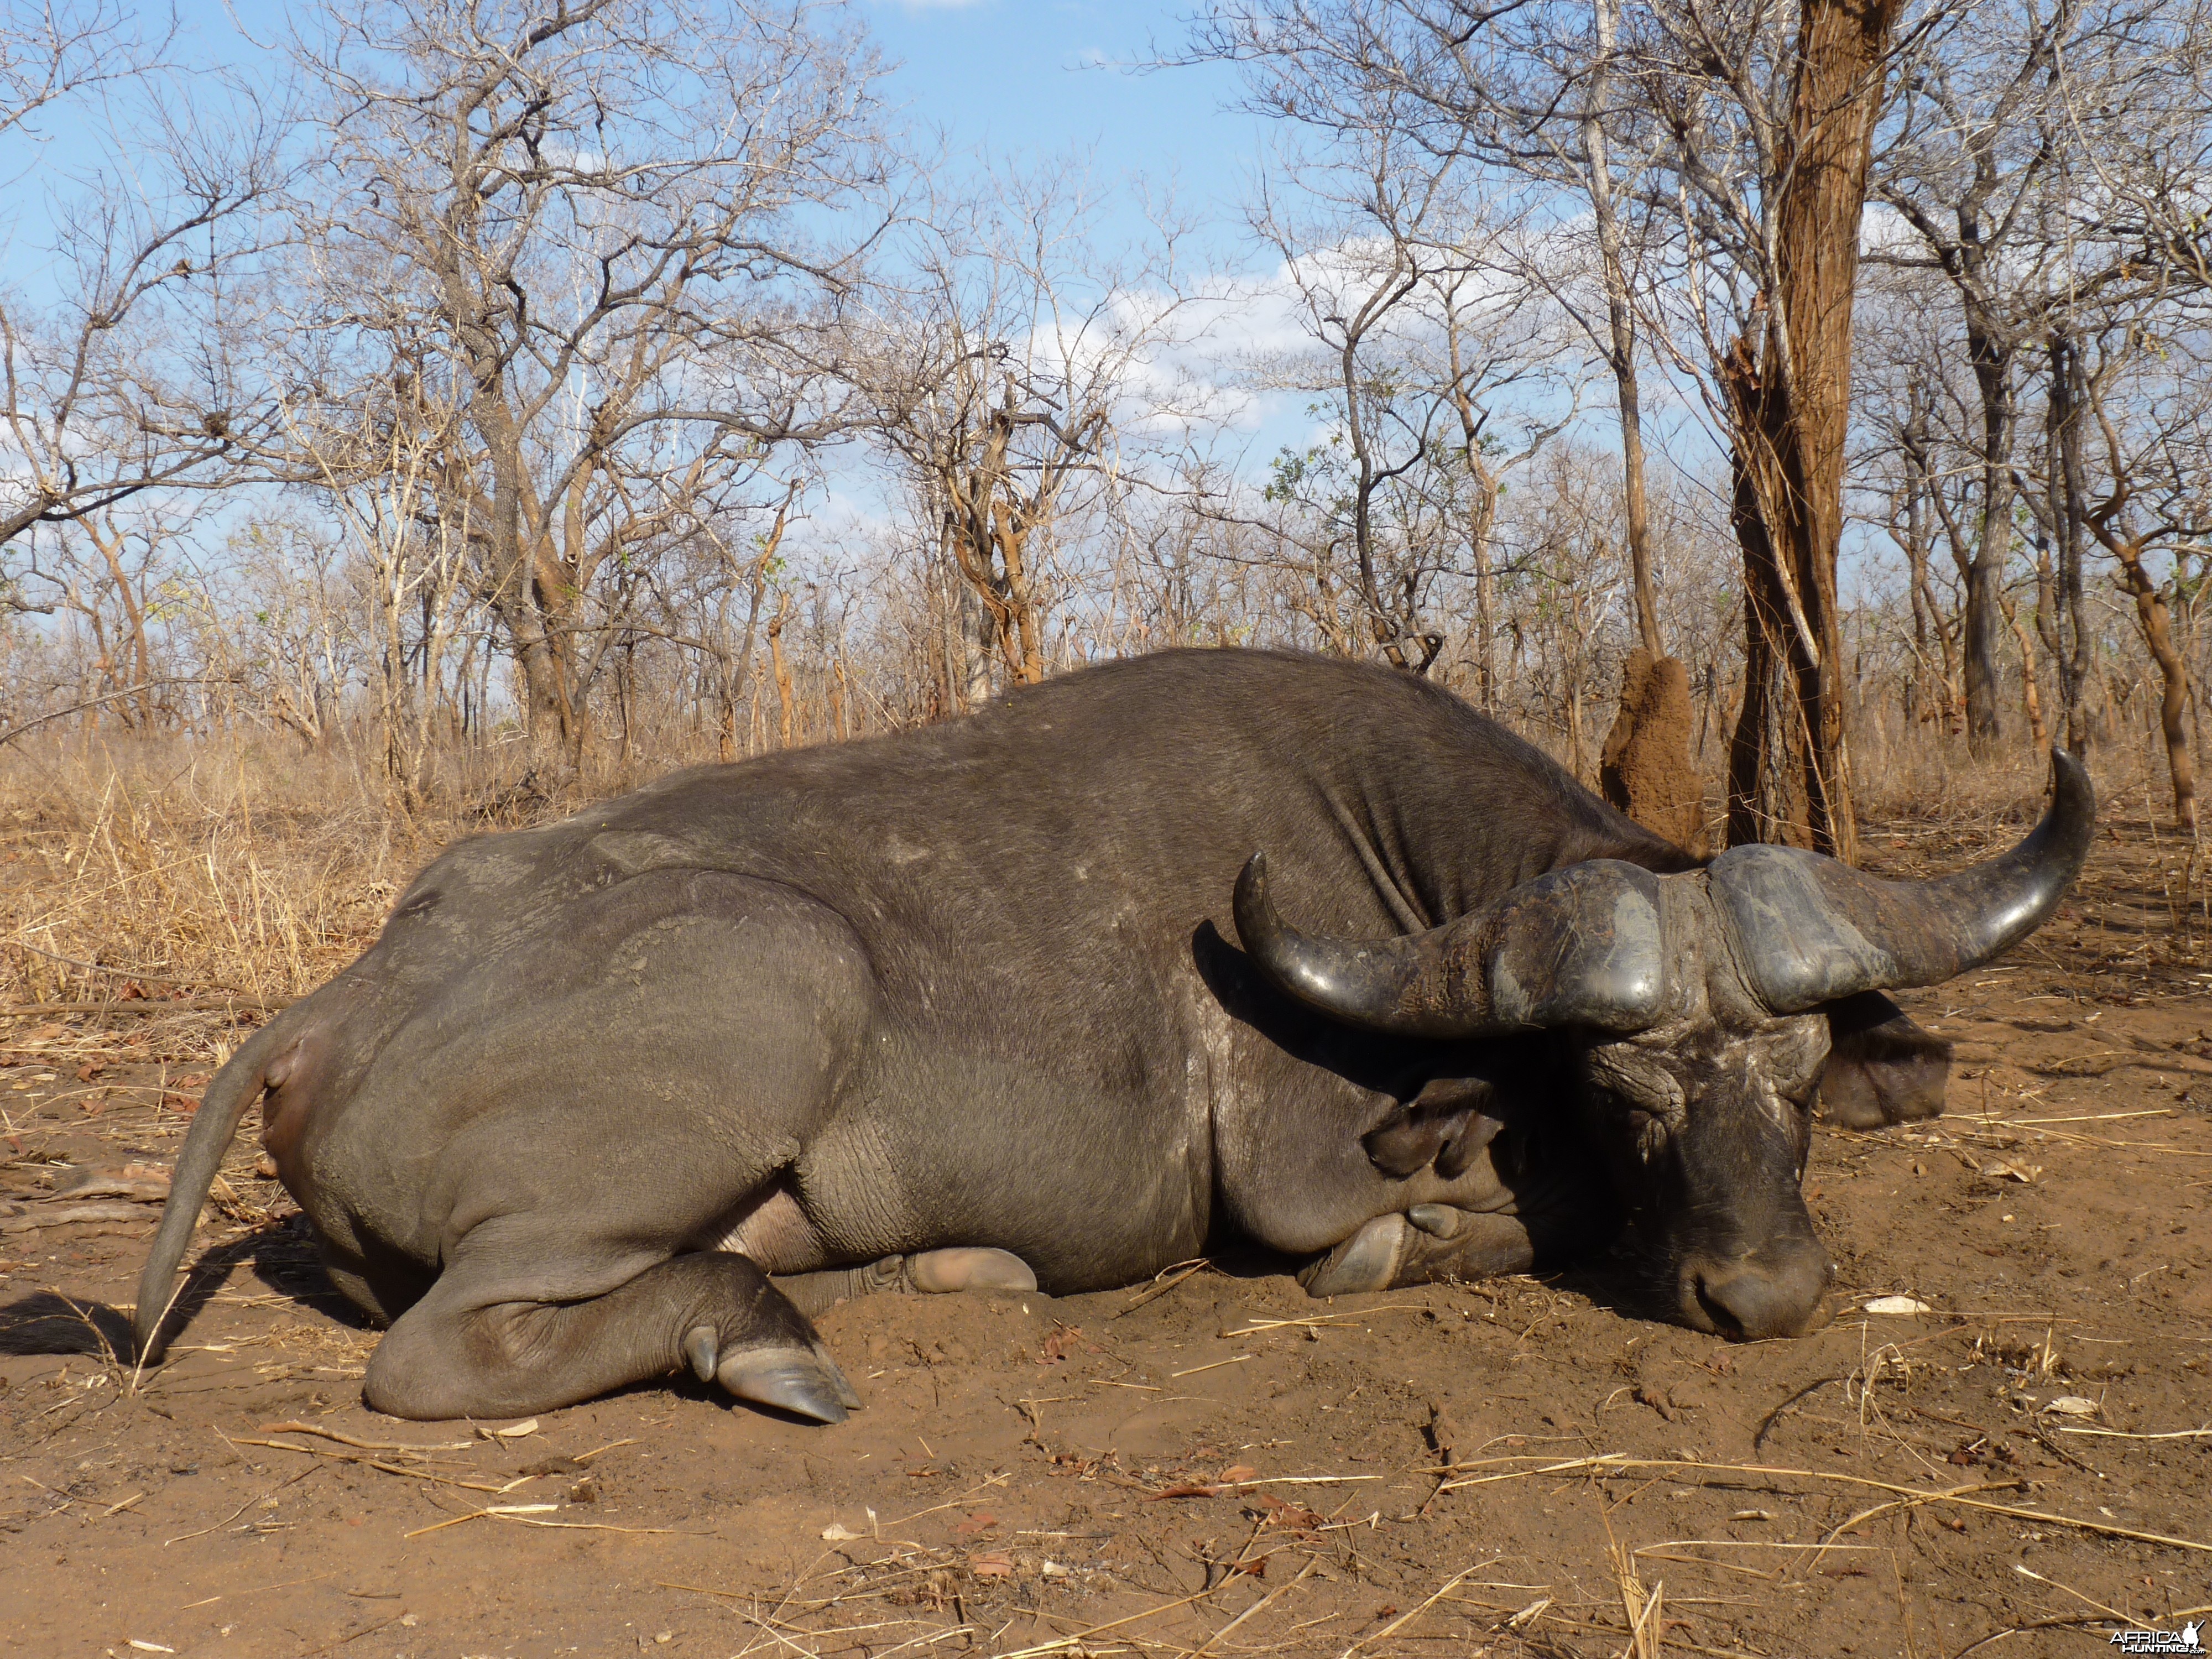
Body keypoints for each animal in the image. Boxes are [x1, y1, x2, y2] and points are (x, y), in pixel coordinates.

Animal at [134, 655, 2088, 1425]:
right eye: (1624, 1089)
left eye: (1801, 1078)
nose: (1766, 1295)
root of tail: (344, 995)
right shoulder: (1307, 1182)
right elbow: (1432, 1223)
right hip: (773, 976)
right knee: (444, 1353)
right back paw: (754, 1342)